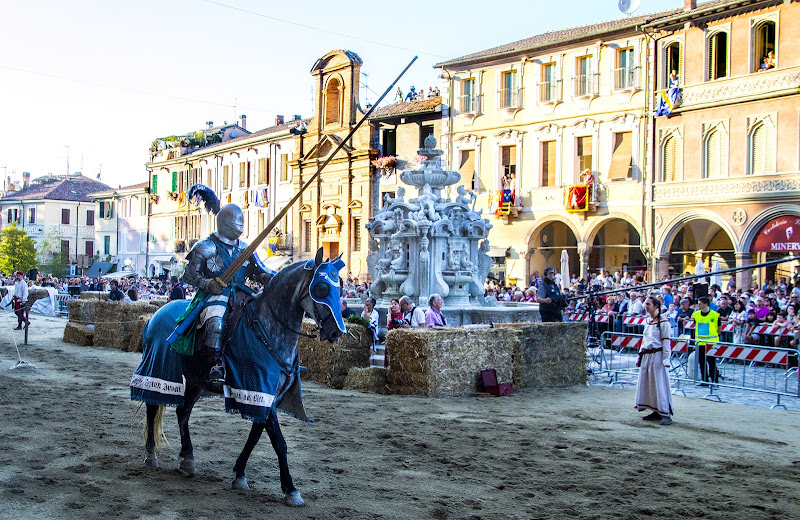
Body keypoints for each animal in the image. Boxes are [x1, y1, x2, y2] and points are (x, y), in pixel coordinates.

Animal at [130, 250, 346, 506]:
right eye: (321, 288)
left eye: (341, 287)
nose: (336, 332)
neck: (268, 327)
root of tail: (155, 315)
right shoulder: (259, 389)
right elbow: (279, 442)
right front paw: (290, 489)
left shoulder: (265, 397)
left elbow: (255, 436)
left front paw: (240, 474)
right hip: (157, 367)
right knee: (152, 406)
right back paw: (151, 454)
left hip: (195, 380)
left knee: (183, 412)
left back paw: (187, 459)